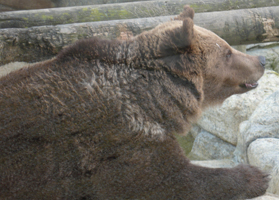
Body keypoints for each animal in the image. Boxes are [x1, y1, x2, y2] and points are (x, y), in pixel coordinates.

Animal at [0, 5, 270, 199]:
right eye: (227, 52)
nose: (262, 59)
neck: (152, 99)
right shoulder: (120, 139)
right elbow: (172, 180)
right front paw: (255, 176)